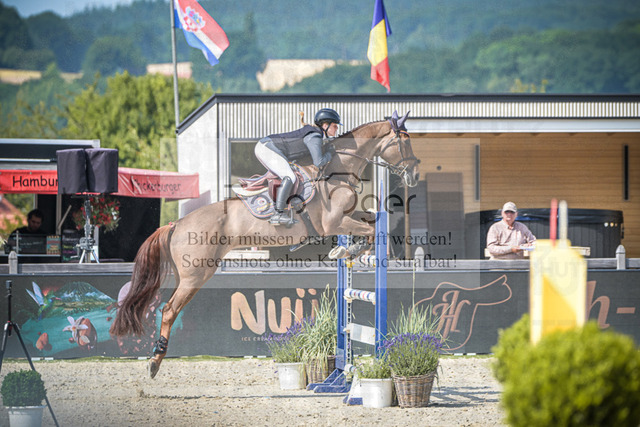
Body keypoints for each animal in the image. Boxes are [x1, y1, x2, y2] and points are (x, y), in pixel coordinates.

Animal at [109, 111, 420, 378]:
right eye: (405, 140)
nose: (415, 174)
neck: (337, 170)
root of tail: (176, 225)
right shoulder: (333, 222)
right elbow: (370, 230)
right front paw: (350, 249)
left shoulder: (344, 219)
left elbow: (368, 223)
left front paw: (349, 248)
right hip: (195, 275)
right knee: (169, 310)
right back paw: (155, 361)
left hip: (187, 275)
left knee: (167, 307)